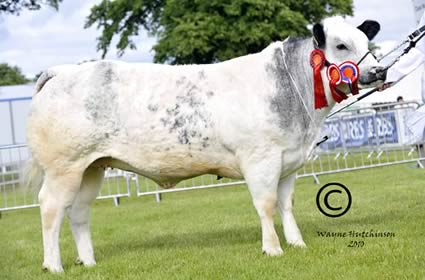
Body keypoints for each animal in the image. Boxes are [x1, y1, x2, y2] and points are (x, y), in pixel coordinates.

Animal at [25, 17, 384, 272]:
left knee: (79, 212)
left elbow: (287, 204)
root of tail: (63, 72)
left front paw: (297, 244)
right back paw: (53, 265)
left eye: (367, 42)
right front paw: (273, 249)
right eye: (341, 45)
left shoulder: (288, 162)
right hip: (63, 167)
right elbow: (266, 205)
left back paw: (88, 262)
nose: (378, 71)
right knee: (51, 208)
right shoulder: (261, 159)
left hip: (92, 167)